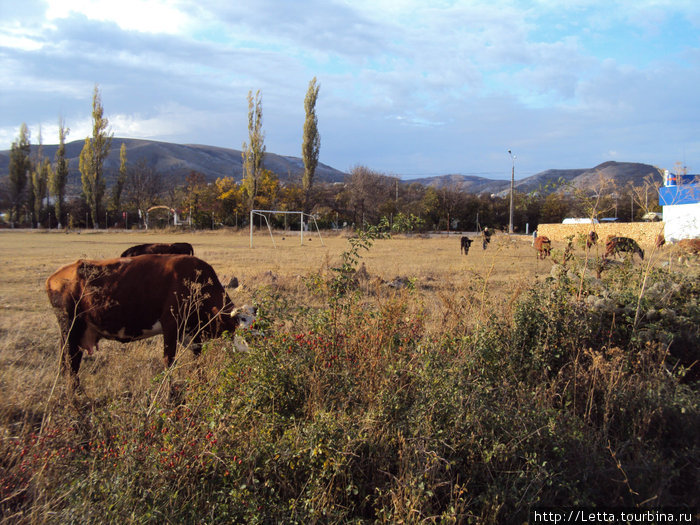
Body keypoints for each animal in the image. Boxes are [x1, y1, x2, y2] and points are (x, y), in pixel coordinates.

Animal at [45, 254, 258, 388]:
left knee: (71, 365)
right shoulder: (171, 325)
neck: (195, 282)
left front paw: (201, 382)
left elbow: (198, 360)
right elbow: (168, 361)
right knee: (70, 365)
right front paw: (170, 396)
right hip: (69, 331)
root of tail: (56, 276)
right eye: (247, 334)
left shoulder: (192, 333)